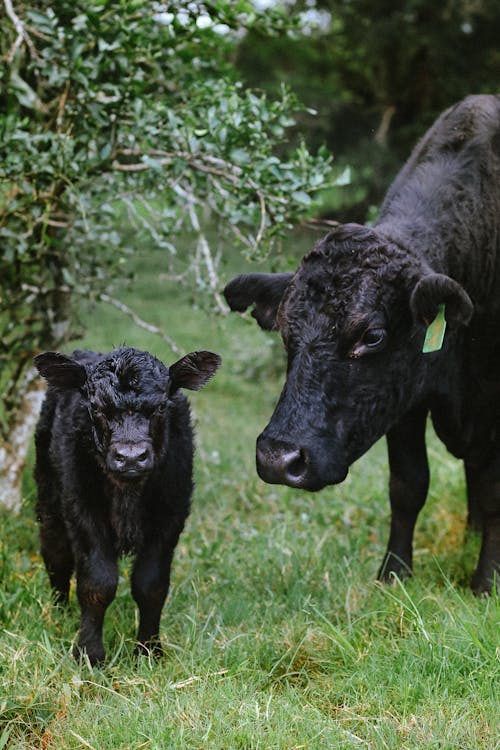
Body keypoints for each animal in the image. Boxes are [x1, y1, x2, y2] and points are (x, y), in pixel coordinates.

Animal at [34, 346, 221, 664]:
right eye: (96, 408)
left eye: (160, 408)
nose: (131, 457)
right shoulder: (82, 511)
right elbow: (98, 583)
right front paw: (89, 654)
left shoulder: (171, 516)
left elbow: (151, 586)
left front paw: (149, 651)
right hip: (50, 496)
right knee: (56, 553)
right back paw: (61, 612)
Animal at [225, 97, 500, 596]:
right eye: (285, 330)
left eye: (372, 335)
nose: (278, 459)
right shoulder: (404, 400)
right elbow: (408, 485)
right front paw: (393, 574)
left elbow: (493, 495)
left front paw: (487, 582)